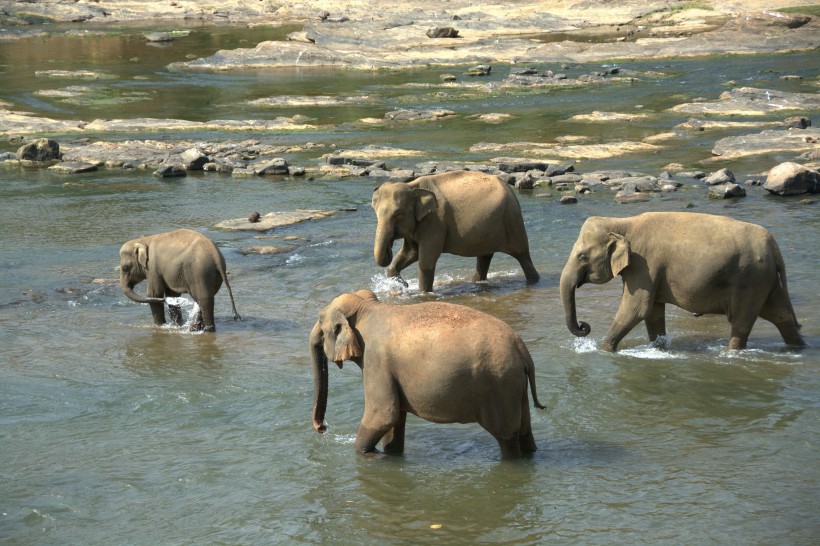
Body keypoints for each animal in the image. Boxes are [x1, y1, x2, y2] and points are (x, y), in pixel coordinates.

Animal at [310, 286, 548, 456]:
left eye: (320, 321)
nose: (322, 428)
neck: (367, 308)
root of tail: (522, 349)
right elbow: (395, 418)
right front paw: (389, 453)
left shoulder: (376, 362)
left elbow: (383, 414)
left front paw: (367, 454)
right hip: (515, 389)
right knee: (525, 432)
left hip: (499, 388)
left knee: (506, 438)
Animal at [370, 170, 540, 292]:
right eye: (375, 212)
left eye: (398, 214)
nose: (405, 283)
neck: (412, 186)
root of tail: (510, 190)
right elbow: (409, 253)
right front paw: (401, 285)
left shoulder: (435, 222)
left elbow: (426, 261)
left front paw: (423, 293)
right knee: (484, 257)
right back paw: (476, 282)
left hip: (512, 220)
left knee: (522, 255)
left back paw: (534, 281)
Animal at [560, 210, 804, 350]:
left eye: (582, 256)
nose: (584, 326)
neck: (623, 223)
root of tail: (773, 245)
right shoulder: (650, 270)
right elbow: (653, 312)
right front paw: (658, 349)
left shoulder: (644, 264)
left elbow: (636, 309)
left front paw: (604, 350)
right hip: (766, 279)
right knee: (781, 316)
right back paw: (798, 348)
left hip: (750, 278)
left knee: (741, 322)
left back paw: (730, 353)